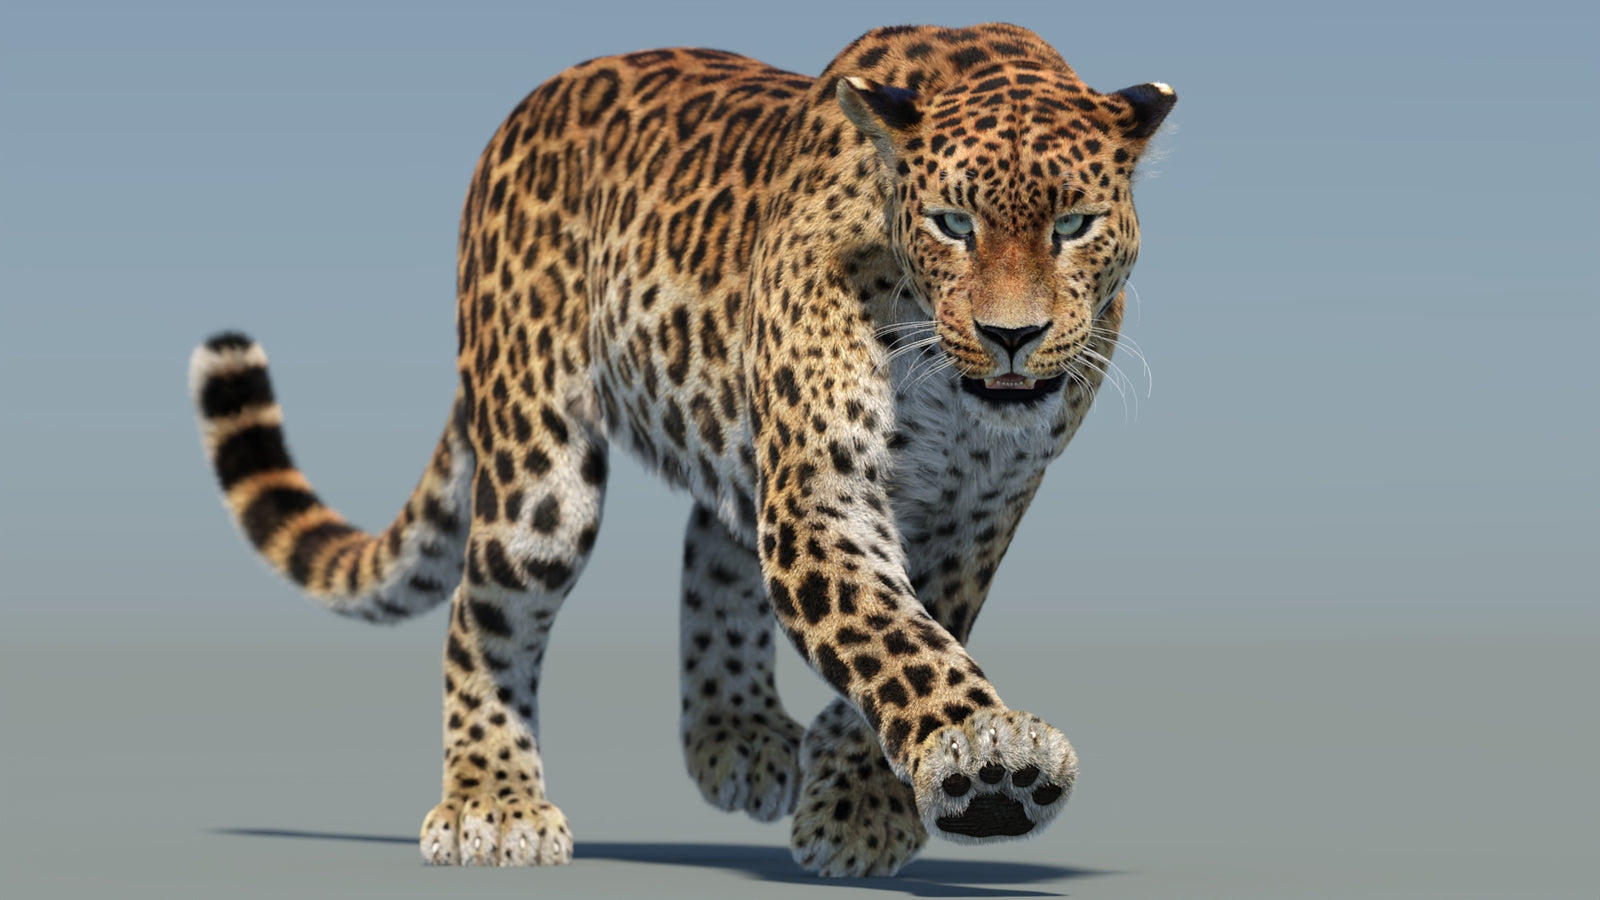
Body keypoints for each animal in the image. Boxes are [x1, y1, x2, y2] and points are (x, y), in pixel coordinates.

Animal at [188, 22, 1174, 877]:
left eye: (1075, 225)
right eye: (952, 224)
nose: (1013, 336)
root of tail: (527, 108)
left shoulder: (976, 515)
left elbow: (925, 629)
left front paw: (863, 802)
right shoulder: (822, 494)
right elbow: (892, 637)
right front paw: (986, 761)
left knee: (712, 544)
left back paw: (739, 735)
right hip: (541, 469)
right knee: (482, 608)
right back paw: (493, 803)